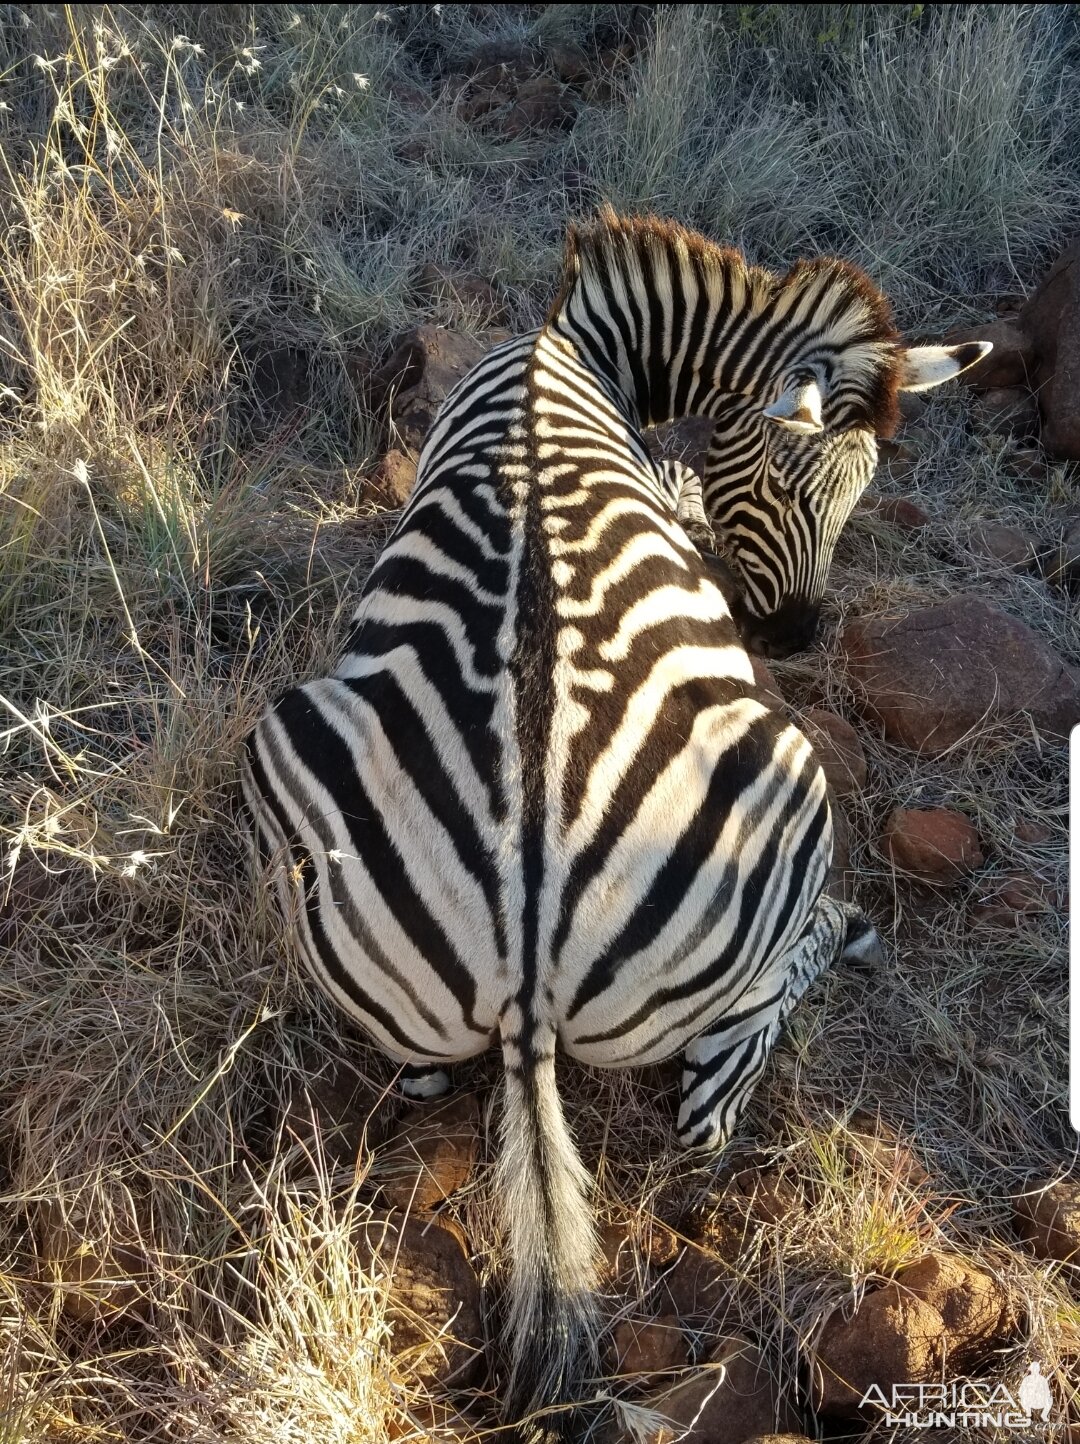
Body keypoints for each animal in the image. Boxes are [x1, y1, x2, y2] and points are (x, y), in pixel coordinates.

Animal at [241, 206, 993, 1444]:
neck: (572, 343)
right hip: (788, 789)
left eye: (857, 496)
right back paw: (842, 931)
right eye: (783, 481)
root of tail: (529, 948)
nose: (790, 637)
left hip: (296, 772)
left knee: (425, 1082)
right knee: (715, 1092)